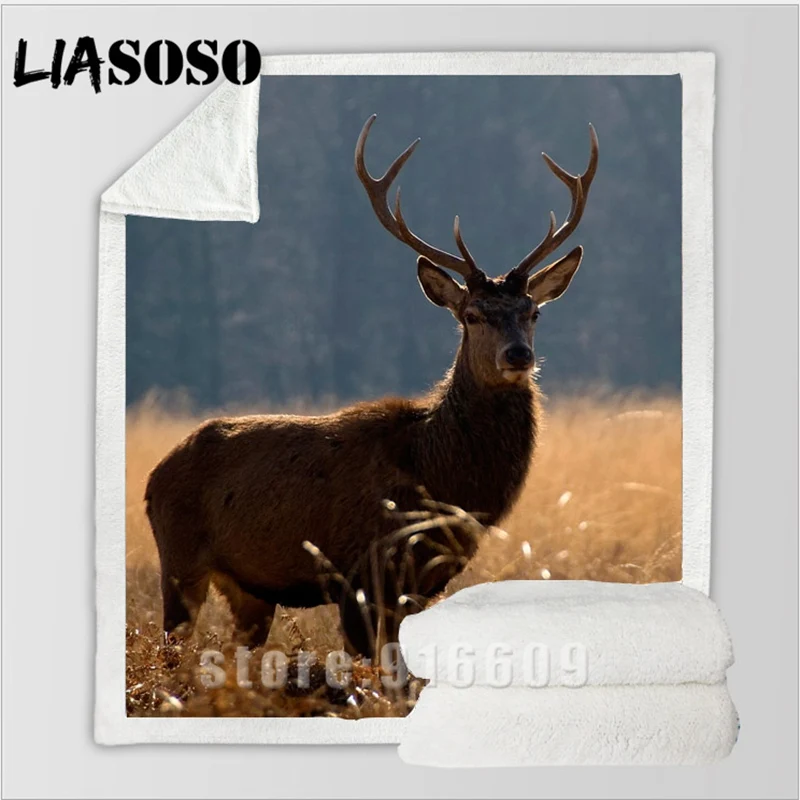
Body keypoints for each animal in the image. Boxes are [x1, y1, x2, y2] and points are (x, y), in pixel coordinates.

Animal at [145, 115, 598, 659]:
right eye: (471, 315)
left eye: (532, 313)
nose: (518, 355)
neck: (438, 476)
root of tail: (153, 478)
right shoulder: (359, 571)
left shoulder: (418, 583)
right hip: (178, 562)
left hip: (250, 590)